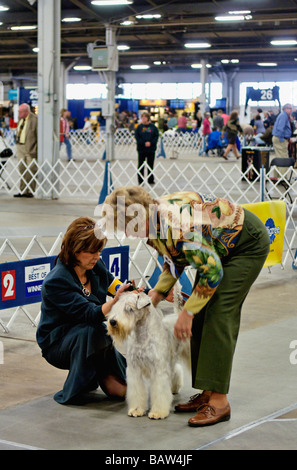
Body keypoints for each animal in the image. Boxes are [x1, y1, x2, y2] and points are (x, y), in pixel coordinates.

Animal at [106, 286, 190, 418]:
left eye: (129, 309)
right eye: (116, 307)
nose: (113, 322)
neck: (142, 335)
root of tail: (177, 315)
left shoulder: (159, 369)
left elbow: (160, 392)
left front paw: (158, 412)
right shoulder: (134, 369)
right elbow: (137, 392)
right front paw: (136, 410)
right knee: (176, 370)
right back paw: (174, 388)